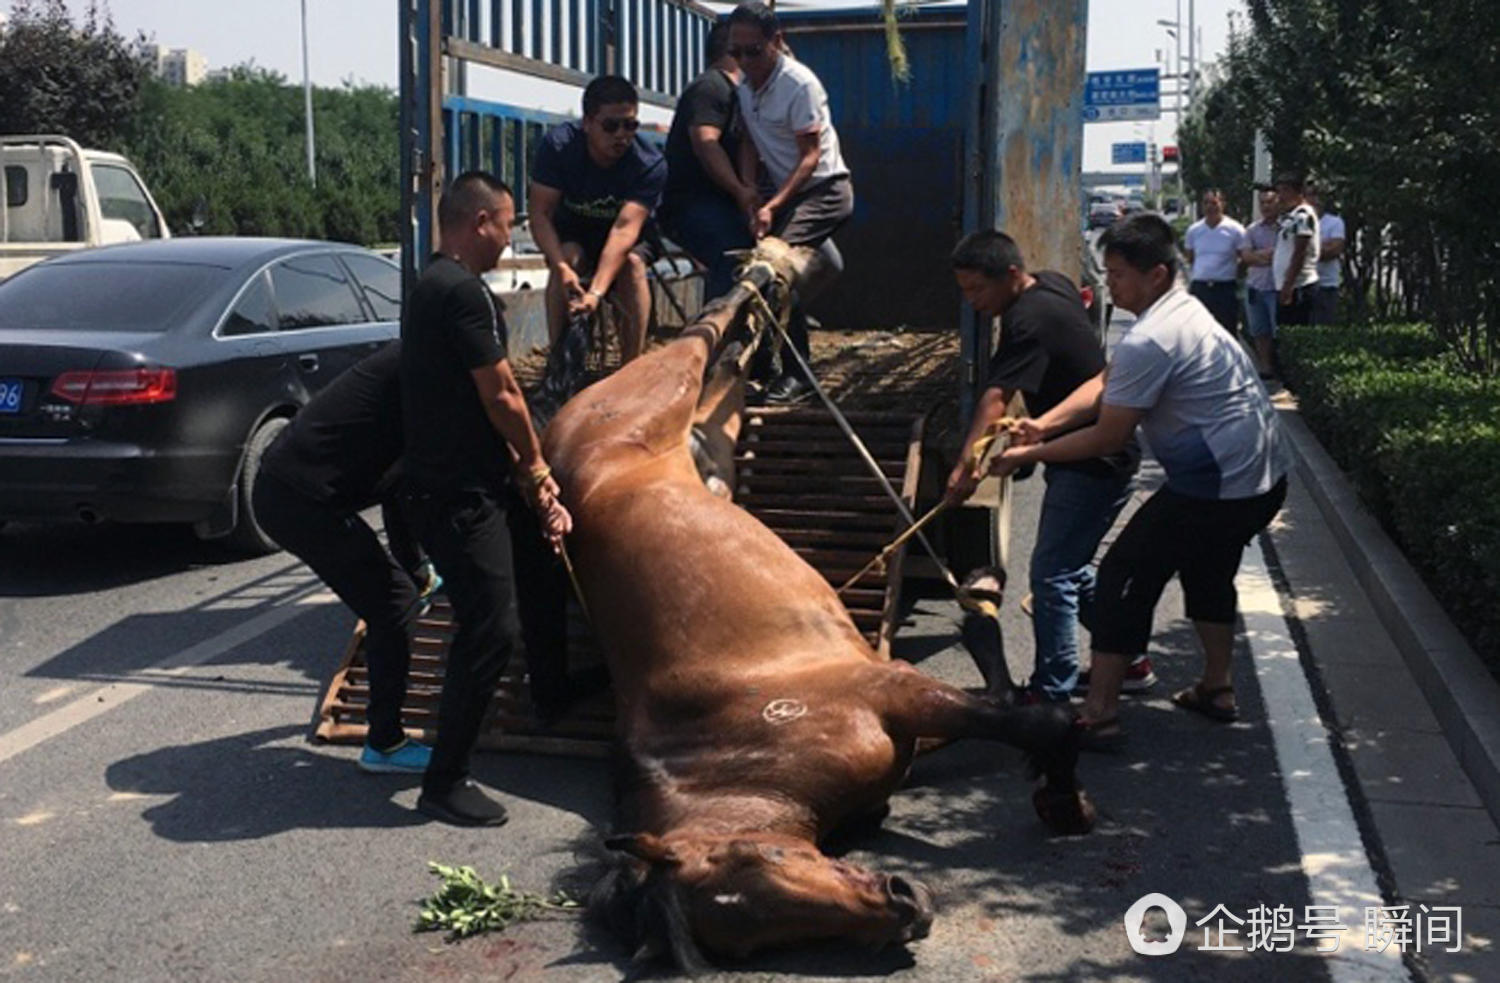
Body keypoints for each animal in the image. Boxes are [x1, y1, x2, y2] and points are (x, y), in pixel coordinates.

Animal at [540, 240, 1092, 966]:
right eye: (752, 936)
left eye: (759, 858)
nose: (906, 906)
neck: (734, 755)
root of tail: (562, 437)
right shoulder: (902, 722)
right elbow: (999, 701)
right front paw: (985, 616)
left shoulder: (893, 689)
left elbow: (1028, 722)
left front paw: (1062, 788)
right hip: (714, 433)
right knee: (731, 369)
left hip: (663, 393)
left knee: (706, 335)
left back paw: (765, 272)